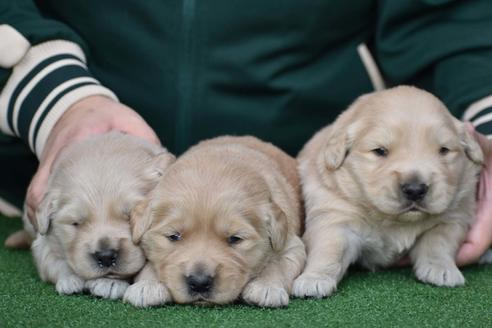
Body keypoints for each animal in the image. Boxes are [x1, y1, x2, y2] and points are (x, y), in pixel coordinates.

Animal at [29, 133, 175, 300]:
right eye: (76, 223)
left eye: (130, 217)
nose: (105, 256)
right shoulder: (42, 242)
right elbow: (53, 260)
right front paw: (71, 279)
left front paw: (147, 286)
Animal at [125, 136, 306, 308]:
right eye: (174, 236)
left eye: (235, 239)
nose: (199, 282)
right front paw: (147, 285)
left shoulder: (291, 244)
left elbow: (278, 263)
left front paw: (265, 286)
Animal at [294, 84, 482, 298]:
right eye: (380, 151)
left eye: (443, 150)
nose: (415, 189)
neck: (394, 221)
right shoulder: (336, 213)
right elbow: (329, 247)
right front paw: (314, 279)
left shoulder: (454, 215)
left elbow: (439, 241)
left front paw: (441, 269)